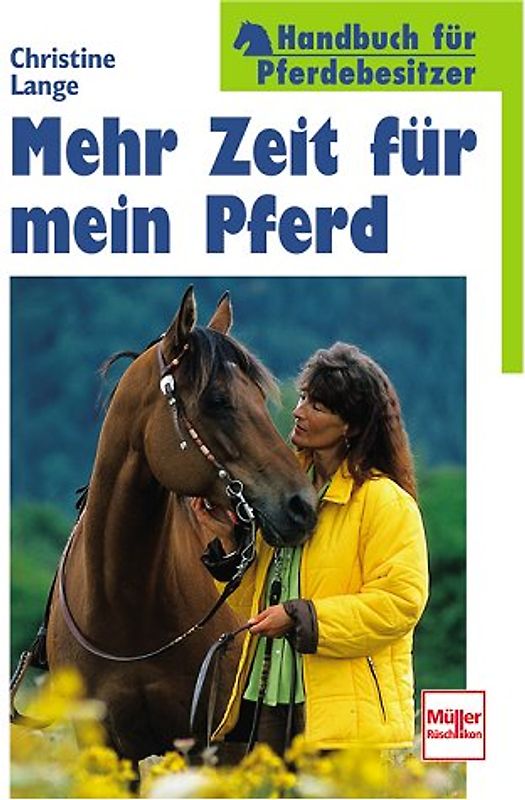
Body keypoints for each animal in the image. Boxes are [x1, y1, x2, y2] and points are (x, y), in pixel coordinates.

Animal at [43, 286, 317, 763]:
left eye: (260, 398)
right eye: (217, 401)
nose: (301, 505)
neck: (125, 608)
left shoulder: (211, 745)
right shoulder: (103, 746)